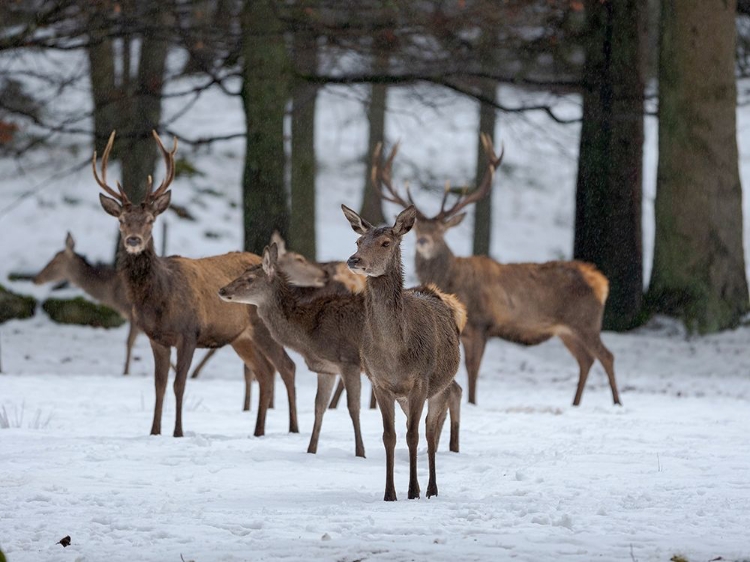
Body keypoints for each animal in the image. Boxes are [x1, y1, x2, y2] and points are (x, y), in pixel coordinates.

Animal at [95, 129, 302, 436]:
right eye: (121, 220)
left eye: (150, 220)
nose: (133, 240)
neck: (159, 299)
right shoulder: (155, 337)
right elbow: (158, 386)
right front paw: (154, 431)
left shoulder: (189, 331)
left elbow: (179, 384)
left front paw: (178, 432)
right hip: (241, 337)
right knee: (264, 373)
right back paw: (258, 431)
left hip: (263, 328)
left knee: (286, 366)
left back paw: (293, 428)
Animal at [344, 202, 468, 498]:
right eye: (358, 241)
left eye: (385, 242)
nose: (354, 260)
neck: (394, 354)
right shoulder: (379, 383)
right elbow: (389, 436)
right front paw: (390, 493)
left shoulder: (420, 381)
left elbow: (413, 435)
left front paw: (412, 491)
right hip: (405, 397)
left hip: (440, 386)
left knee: (431, 429)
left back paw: (432, 488)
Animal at [372, 136, 624, 406]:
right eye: (419, 229)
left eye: (441, 231)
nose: (423, 241)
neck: (452, 279)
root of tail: (601, 281)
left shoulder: (482, 324)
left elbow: (474, 370)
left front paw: (473, 401)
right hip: (568, 330)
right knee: (586, 359)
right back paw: (576, 403)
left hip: (587, 321)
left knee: (607, 356)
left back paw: (616, 402)